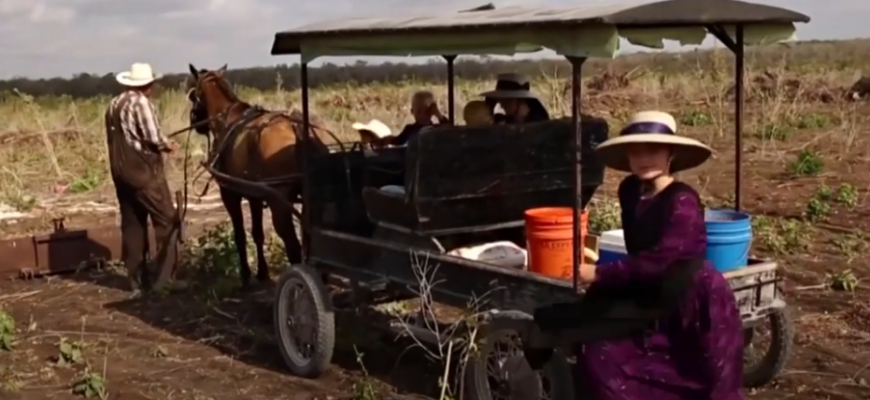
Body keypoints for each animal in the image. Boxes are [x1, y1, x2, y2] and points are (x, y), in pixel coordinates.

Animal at [187, 63, 330, 288]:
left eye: (193, 95)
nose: (195, 123)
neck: (228, 118)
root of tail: (298, 128)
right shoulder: (254, 195)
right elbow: (257, 234)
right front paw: (262, 272)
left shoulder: (230, 194)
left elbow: (240, 235)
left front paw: (246, 276)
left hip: (279, 204)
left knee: (293, 245)